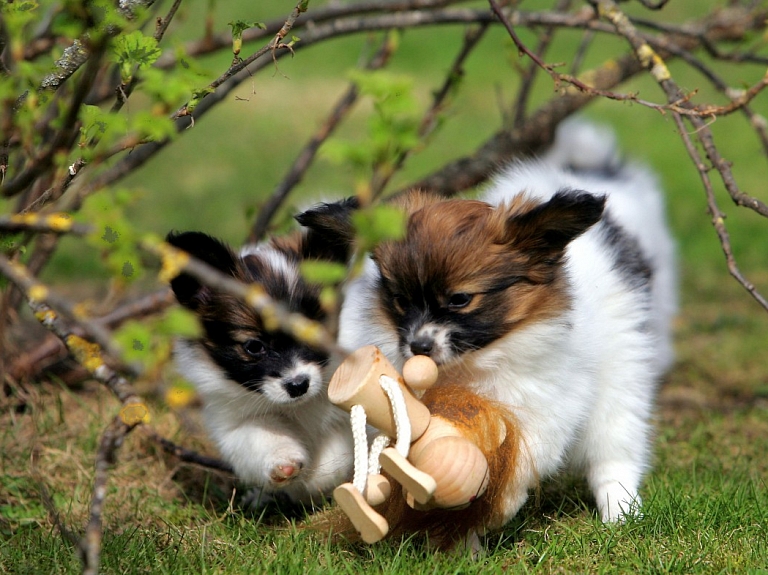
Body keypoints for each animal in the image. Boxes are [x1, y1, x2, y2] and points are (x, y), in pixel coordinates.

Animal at [296, 119, 676, 528]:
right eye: (400, 300)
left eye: (460, 299)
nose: (418, 347)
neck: (479, 360)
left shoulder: (547, 399)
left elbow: (525, 450)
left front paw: (498, 501)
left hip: (622, 370)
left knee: (615, 447)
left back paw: (620, 511)